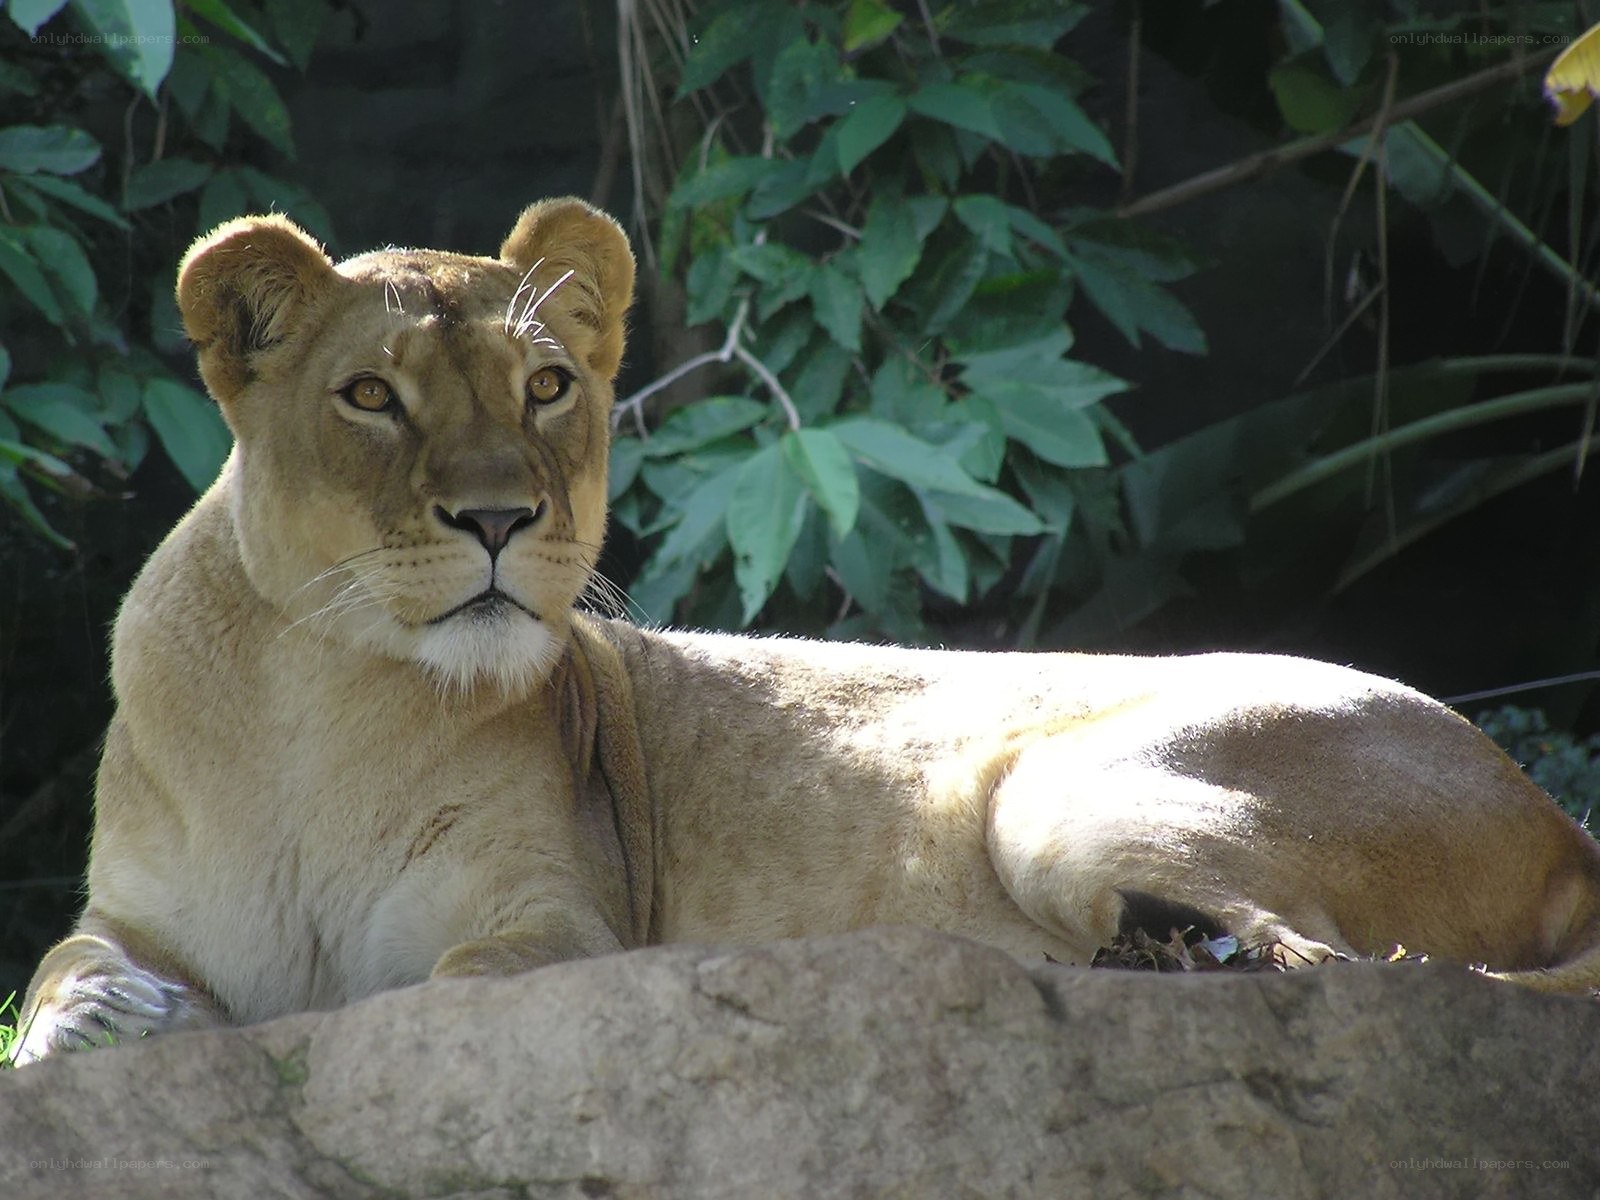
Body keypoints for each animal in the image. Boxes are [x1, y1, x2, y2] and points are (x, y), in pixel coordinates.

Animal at [12, 197, 1600, 1064]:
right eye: (369, 397)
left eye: (544, 386)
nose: (501, 519)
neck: (320, 703)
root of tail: (1549, 810)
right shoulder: (132, 912)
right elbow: (56, 970)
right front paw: (94, 1027)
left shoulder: (563, 927)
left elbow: (439, 995)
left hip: (1059, 797)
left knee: (1348, 973)